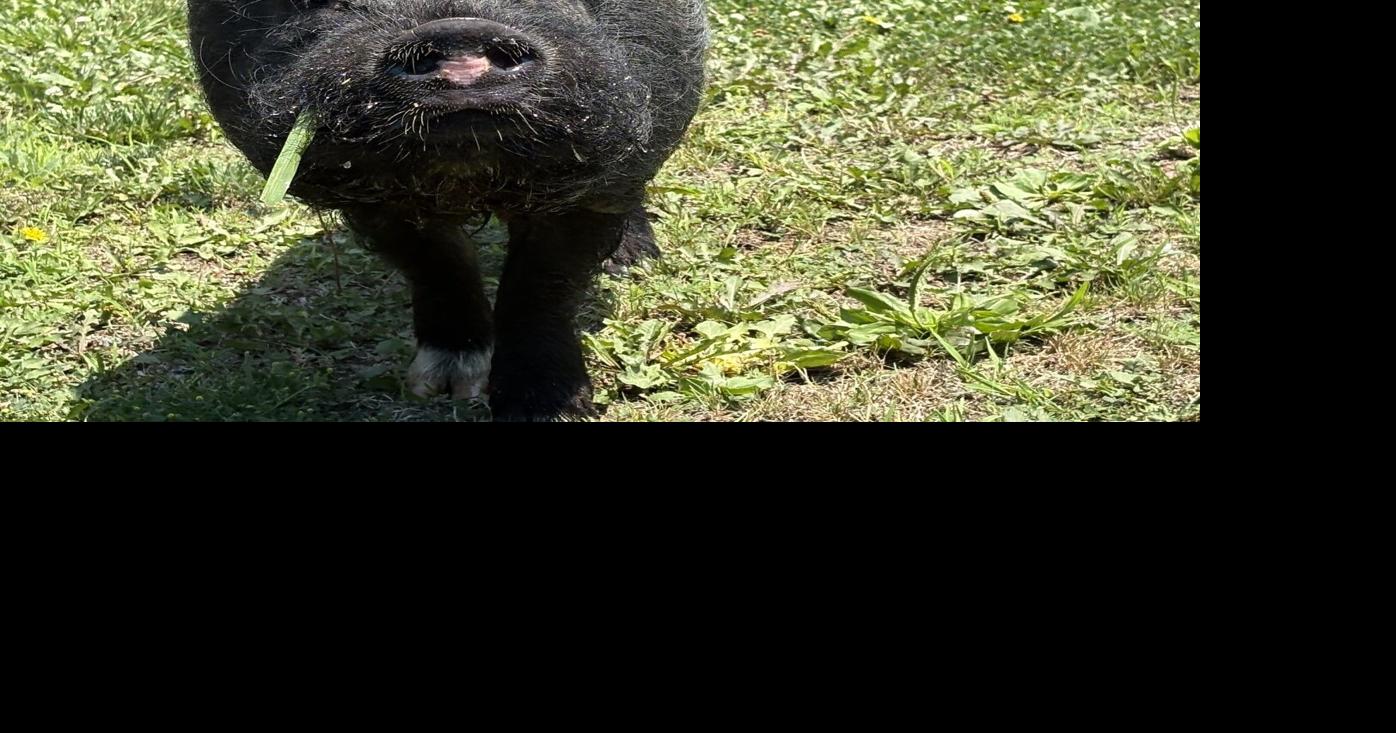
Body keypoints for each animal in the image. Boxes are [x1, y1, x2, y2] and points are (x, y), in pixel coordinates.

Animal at [186, 1, 708, 420]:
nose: (459, 33)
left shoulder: (595, 186)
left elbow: (544, 283)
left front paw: (548, 410)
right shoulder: (373, 201)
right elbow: (437, 264)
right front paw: (440, 389)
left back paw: (632, 261)